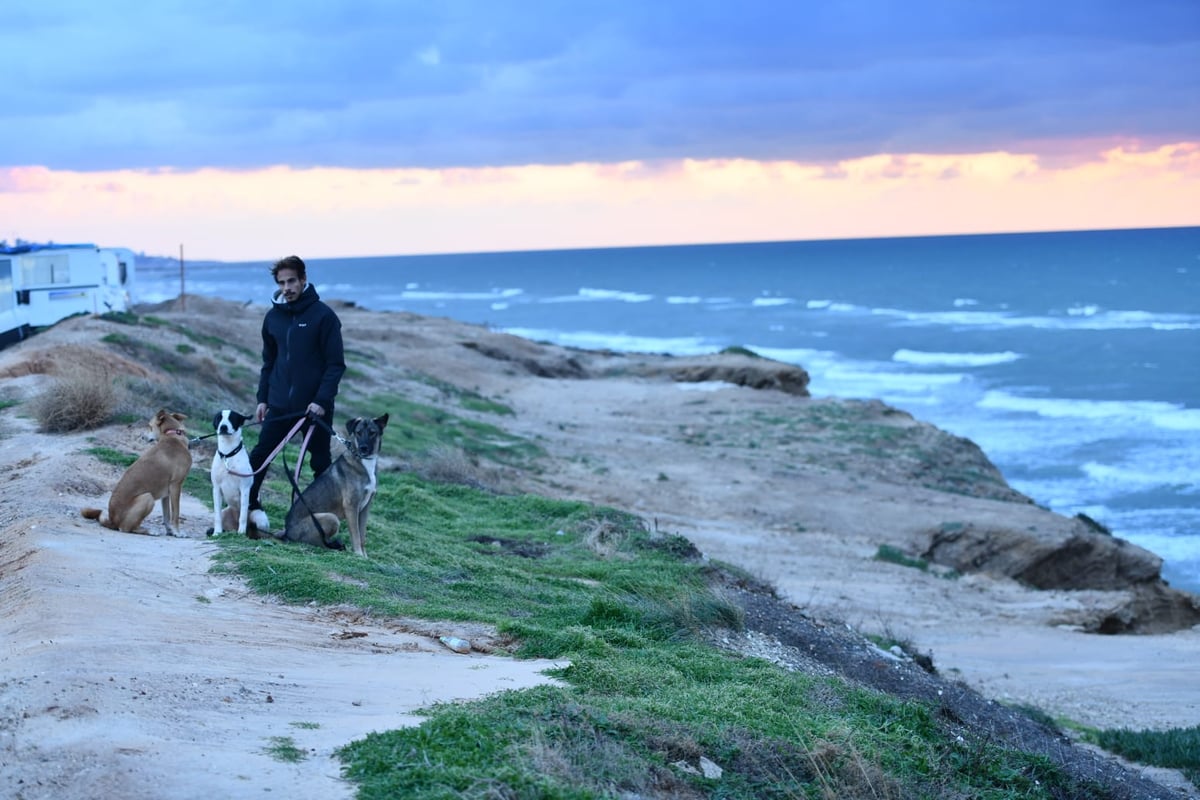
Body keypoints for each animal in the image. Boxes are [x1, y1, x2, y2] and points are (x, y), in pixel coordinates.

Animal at [280, 412, 388, 556]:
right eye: (358, 432)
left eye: (372, 433)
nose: (363, 448)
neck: (365, 462)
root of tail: (287, 531)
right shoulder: (351, 506)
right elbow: (356, 534)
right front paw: (358, 554)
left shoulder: (365, 508)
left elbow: (362, 536)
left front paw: (364, 556)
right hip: (331, 518)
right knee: (315, 542)